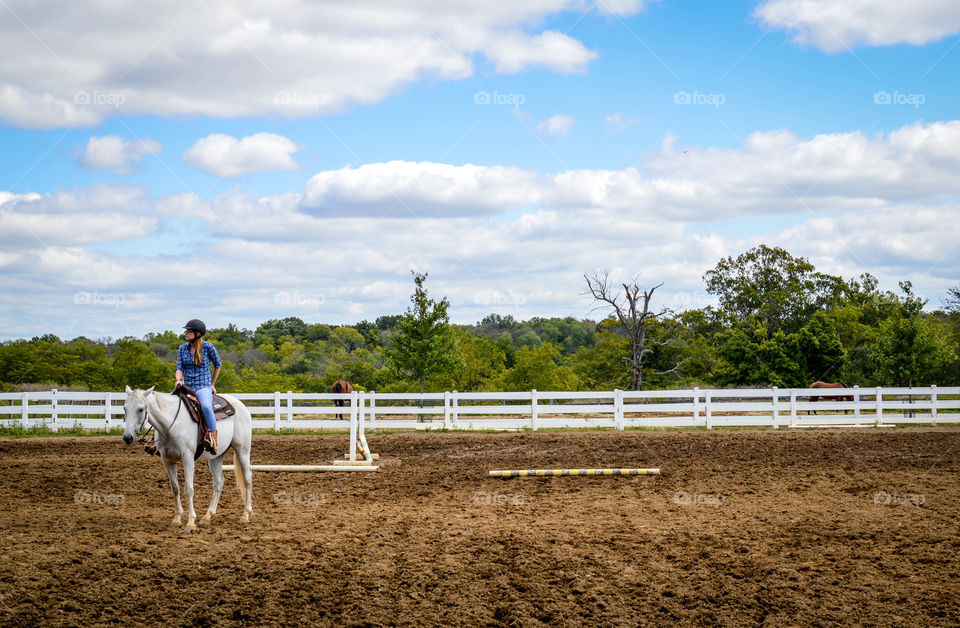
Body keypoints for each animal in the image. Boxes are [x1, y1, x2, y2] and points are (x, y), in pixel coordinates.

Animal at [122, 386, 253, 528]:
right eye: (124, 408)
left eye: (141, 409)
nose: (127, 437)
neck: (172, 423)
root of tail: (240, 404)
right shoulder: (167, 461)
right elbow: (175, 488)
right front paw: (177, 518)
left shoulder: (188, 459)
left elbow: (189, 489)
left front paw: (190, 522)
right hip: (216, 456)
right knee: (219, 482)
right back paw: (208, 516)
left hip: (242, 449)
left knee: (247, 479)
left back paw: (245, 514)